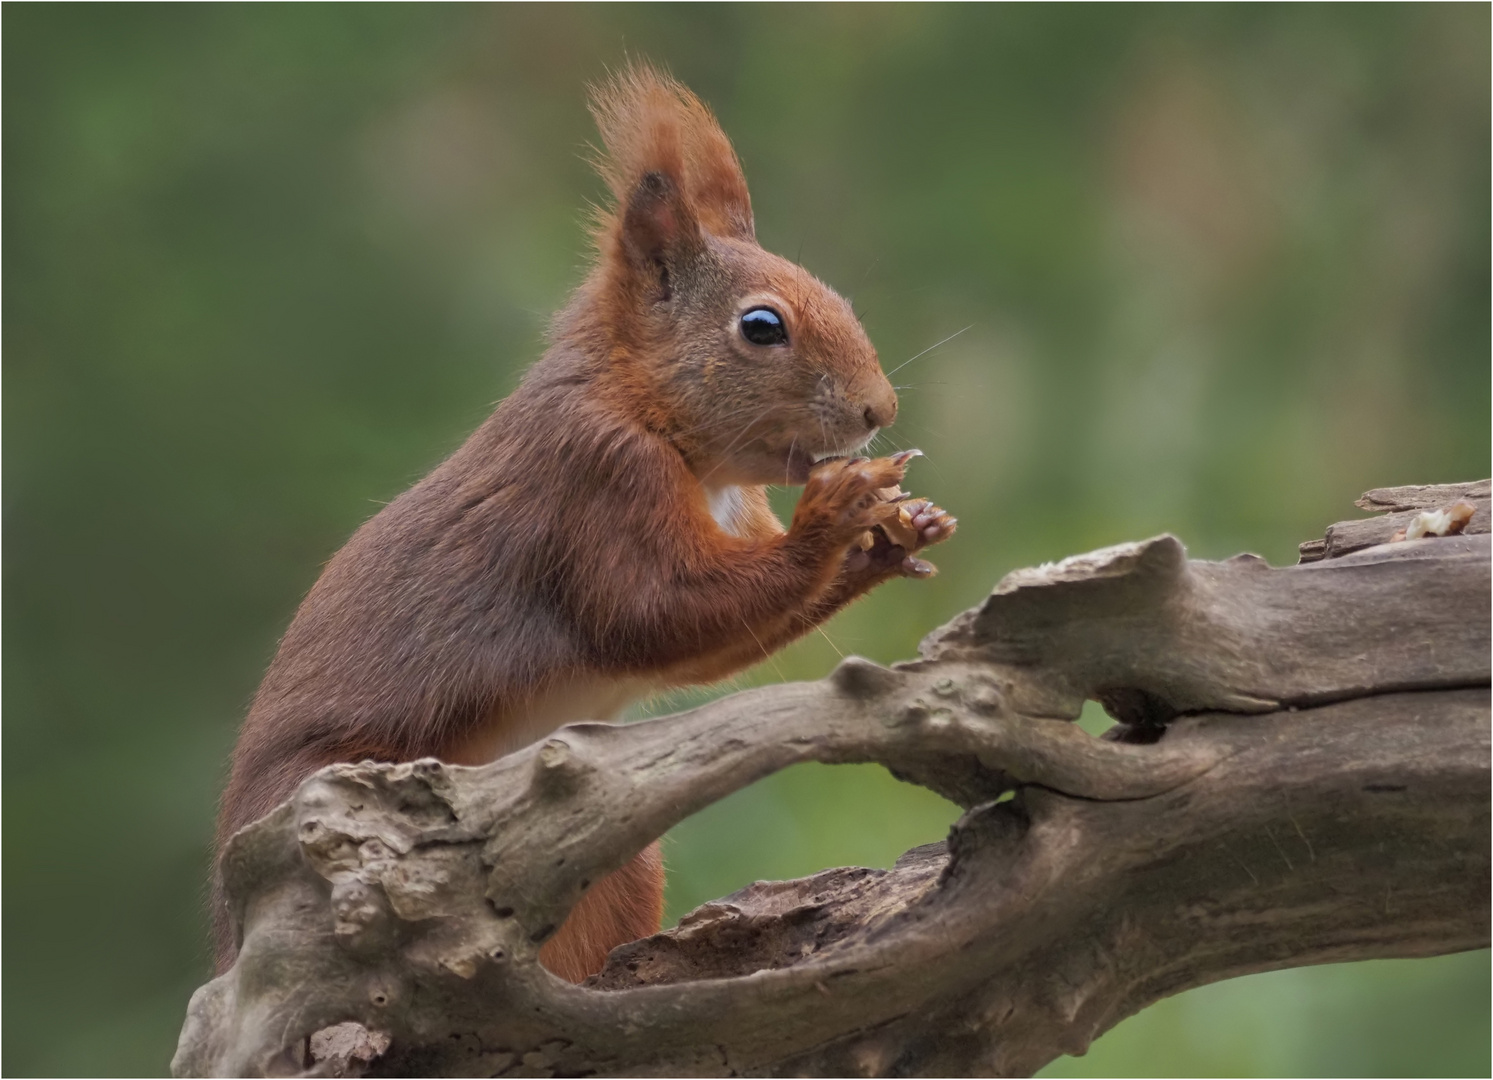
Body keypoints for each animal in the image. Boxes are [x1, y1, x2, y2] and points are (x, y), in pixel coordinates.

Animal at [213, 65, 955, 979]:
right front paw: (835, 515)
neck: (655, 419)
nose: (878, 410)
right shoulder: (598, 478)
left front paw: (901, 529)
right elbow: (654, 612)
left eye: (840, 297)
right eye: (761, 327)